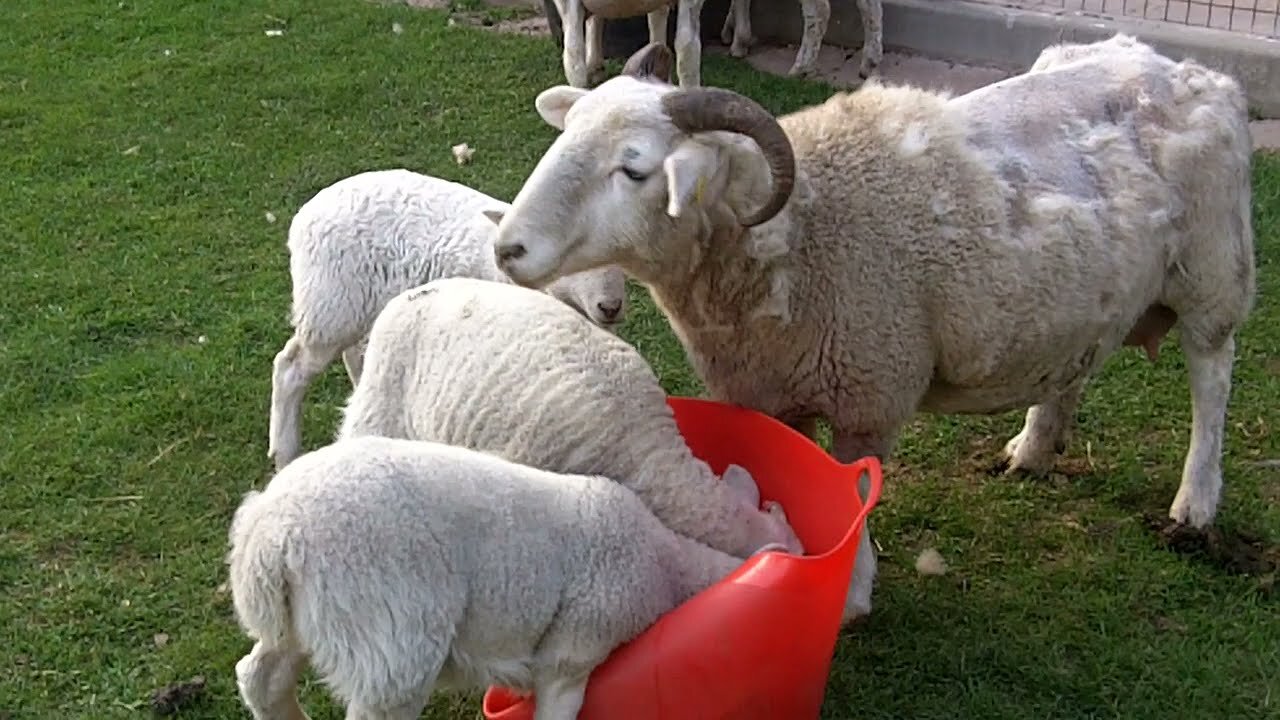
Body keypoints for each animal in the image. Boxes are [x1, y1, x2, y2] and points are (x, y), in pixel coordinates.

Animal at [230, 430, 788, 717]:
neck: (665, 561)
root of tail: (269, 534)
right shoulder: (574, 648)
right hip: (387, 633)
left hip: (307, 619)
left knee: (260, 677)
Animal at [483, 37, 1254, 622]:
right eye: (567, 135)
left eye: (634, 168)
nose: (508, 248)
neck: (796, 234)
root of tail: (1188, 68)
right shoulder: (769, 390)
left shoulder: (870, 391)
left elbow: (856, 494)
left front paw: (850, 595)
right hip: (1089, 292)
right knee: (1077, 361)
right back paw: (1035, 447)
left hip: (1212, 272)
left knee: (1213, 375)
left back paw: (1196, 502)